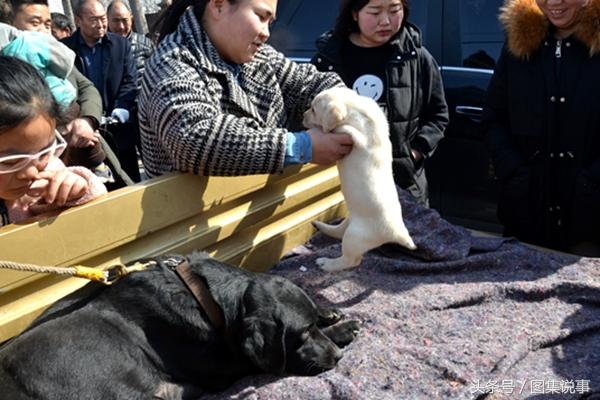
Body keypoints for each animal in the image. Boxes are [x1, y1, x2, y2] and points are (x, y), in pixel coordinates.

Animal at [0, 255, 358, 398]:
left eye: (310, 326)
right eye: (302, 335)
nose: (338, 358)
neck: (205, 297)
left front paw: (331, 313)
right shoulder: (222, 367)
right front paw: (340, 331)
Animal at [302, 87, 414, 272]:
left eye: (313, 109)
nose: (302, 116)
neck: (357, 111)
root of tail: (398, 233)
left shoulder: (357, 136)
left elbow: (343, 129)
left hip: (354, 236)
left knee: (351, 260)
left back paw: (327, 263)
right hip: (350, 221)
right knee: (339, 232)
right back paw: (321, 227)